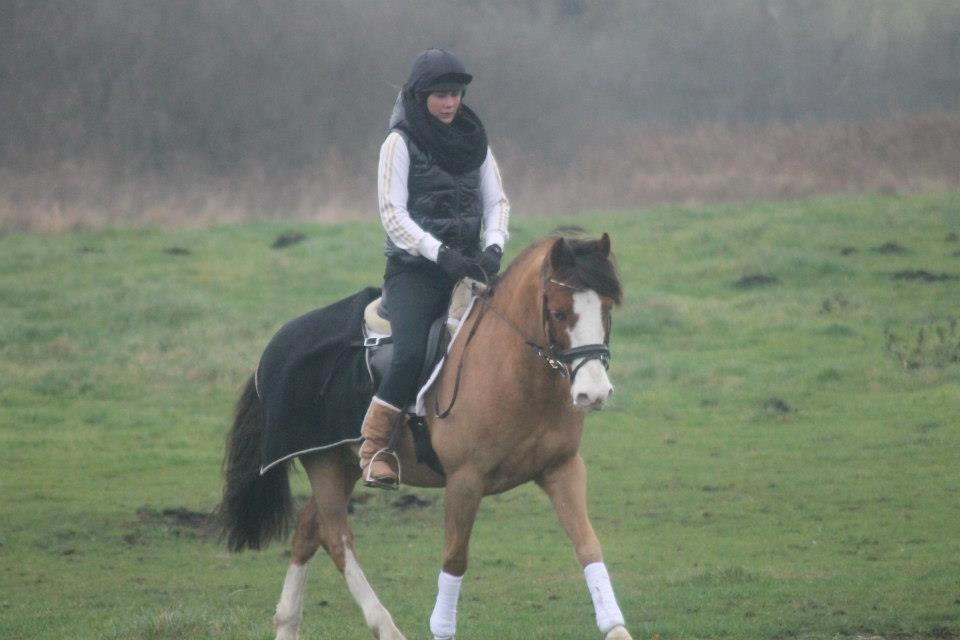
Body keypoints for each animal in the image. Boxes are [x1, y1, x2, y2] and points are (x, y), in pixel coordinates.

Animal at [221, 234, 632, 640]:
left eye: (606, 308)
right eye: (559, 313)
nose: (594, 393)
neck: (514, 375)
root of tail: (278, 343)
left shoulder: (561, 469)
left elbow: (588, 546)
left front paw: (616, 629)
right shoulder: (465, 480)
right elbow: (454, 558)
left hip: (343, 463)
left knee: (310, 530)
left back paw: (287, 623)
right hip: (323, 463)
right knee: (337, 538)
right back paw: (386, 628)